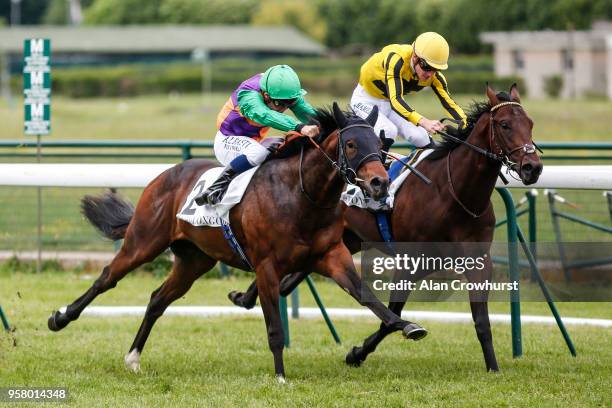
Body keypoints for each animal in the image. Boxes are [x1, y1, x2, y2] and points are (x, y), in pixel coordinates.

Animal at [46, 103, 426, 382]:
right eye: (351, 144)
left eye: (382, 146)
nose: (379, 183)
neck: (302, 195)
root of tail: (165, 175)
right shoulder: (267, 267)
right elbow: (274, 327)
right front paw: (280, 377)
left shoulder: (332, 256)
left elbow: (367, 296)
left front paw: (408, 326)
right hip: (143, 242)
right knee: (106, 278)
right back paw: (60, 318)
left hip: (194, 260)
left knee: (157, 300)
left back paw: (133, 357)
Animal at [228, 86, 540, 372]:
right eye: (505, 124)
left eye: (530, 123)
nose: (532, 167)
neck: (455, 194)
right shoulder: (411, 261)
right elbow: (393, 313)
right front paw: (357, 353)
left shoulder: (478, 262)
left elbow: (481, 319)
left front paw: (493, 367)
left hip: (343, 240)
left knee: (291, 276)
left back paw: (248, 295)